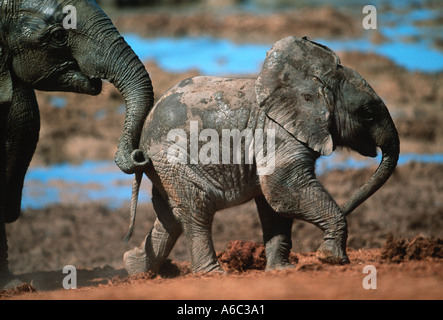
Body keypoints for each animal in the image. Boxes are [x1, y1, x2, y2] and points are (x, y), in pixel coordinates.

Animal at [123, 35, 400, 276]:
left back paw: (137, 271)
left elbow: (275, 204)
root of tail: (143, 134)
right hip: (174, 159)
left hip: (164, 168)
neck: (313, 81)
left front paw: (282, 270)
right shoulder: (278, 131)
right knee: (196, 210)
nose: (346, 206)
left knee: (169, 216)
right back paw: (212, 274)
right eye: (368, 113)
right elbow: (281, 188)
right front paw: (331, 259)